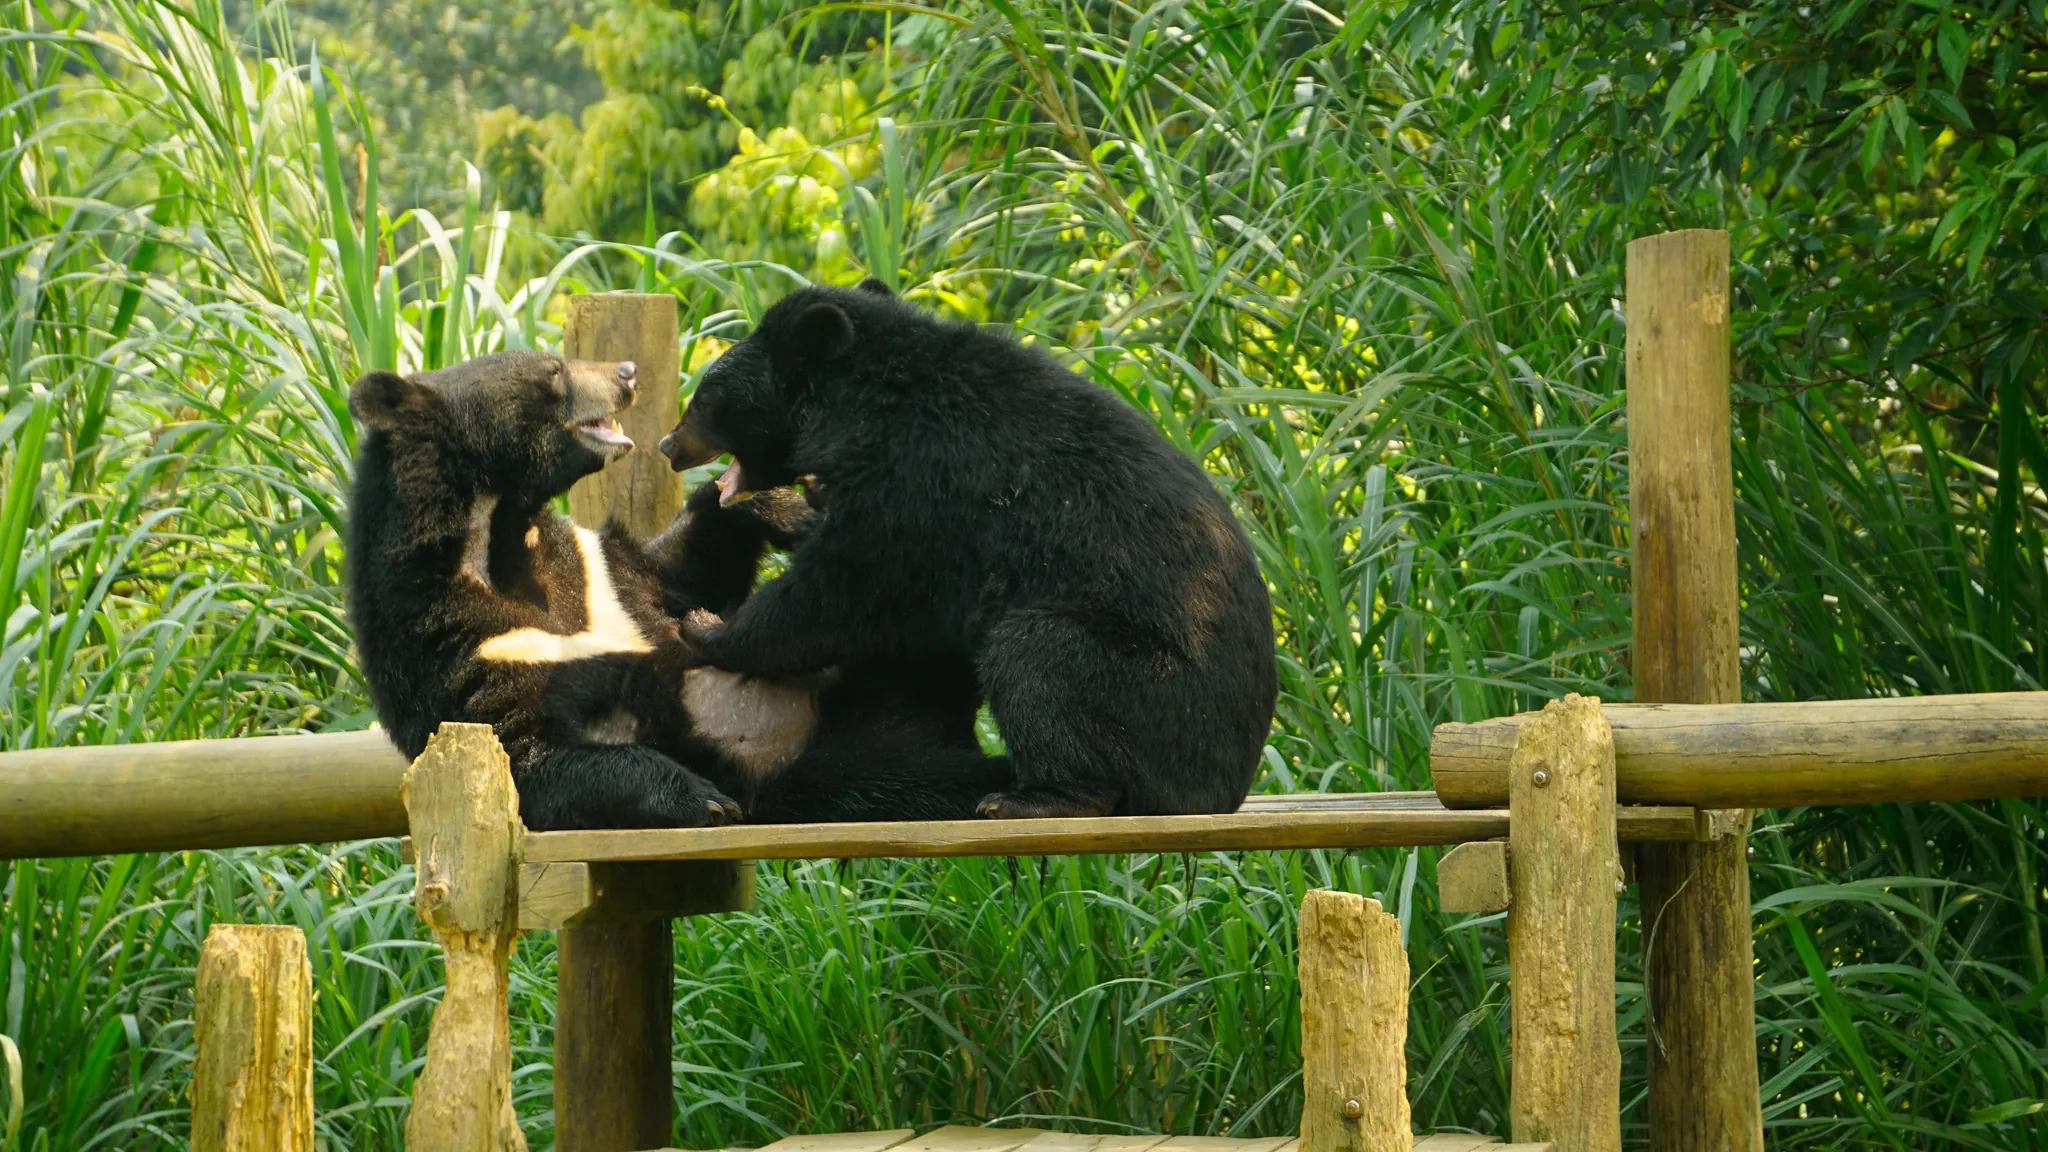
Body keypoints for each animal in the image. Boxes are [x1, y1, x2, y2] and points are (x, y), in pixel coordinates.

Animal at [345, 349, 1004, 831]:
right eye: (553, 370)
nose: (626, 373)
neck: (502, 537)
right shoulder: (464, 653)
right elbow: (532, 763)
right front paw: (702, 797)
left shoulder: (595, 570)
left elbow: (680, 571)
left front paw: (791, 510)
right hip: (843, 767)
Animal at [659, 279, 1278, 819]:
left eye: (706, 401)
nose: (667, 445)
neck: (864, 402)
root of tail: (1224, 789)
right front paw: (780, 511)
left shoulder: (917, 487)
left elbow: (844, 590)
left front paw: (710, 626)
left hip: (1149, 693)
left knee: (1036, 656)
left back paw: (1036, 797)